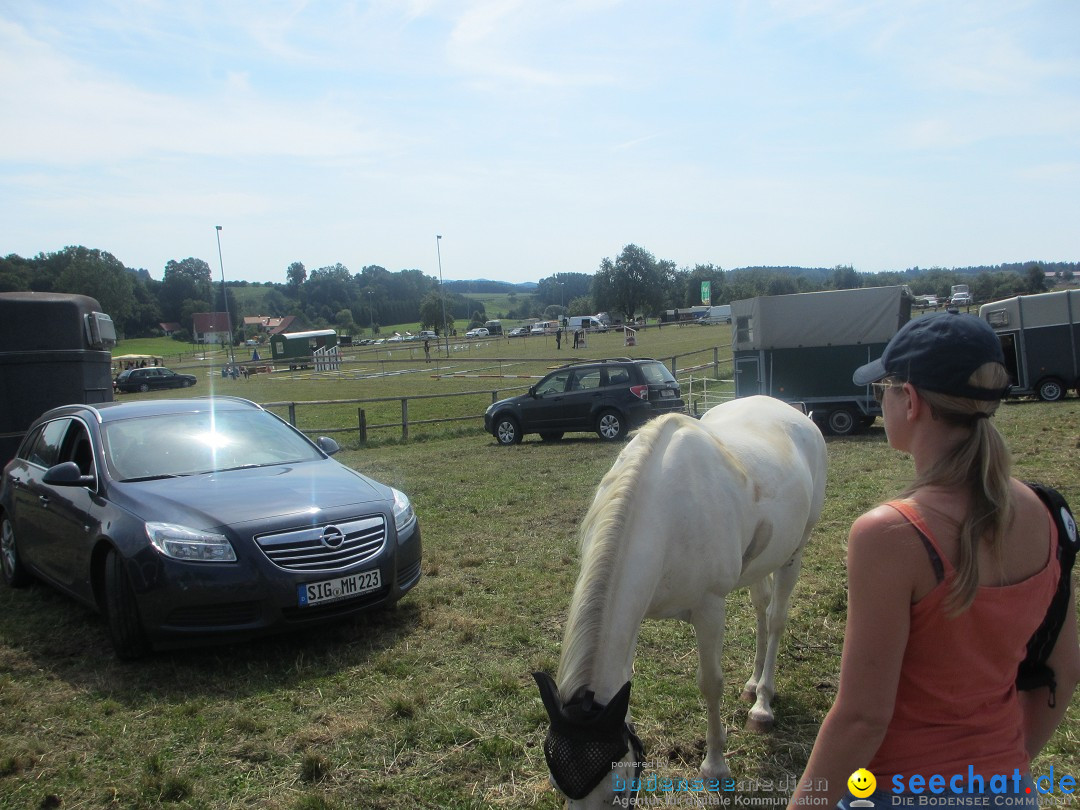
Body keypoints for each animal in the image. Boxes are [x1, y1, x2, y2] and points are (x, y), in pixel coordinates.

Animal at [533, 397, 825, 807]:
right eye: (558, 786)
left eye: (617, 793)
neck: (664, 511)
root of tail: (798, 414)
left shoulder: (709, 608)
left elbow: (710, 683)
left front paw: (715, 767)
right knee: (761, 609)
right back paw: (752, 685)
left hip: (794, 552)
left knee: (777, 618)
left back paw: (762, 705)